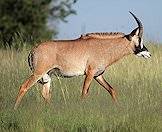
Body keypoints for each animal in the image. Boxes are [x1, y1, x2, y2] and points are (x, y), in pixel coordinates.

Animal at [13, 11, 151, 109]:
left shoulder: (98, 75)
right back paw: (14, 109)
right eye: (139, 40)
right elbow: (84, 92)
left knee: (45, 94)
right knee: (23, 87)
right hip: (38, 73)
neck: (103, 47)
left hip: (47, 76)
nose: (148, 54)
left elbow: (111, 90)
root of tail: (33, 50)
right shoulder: (89, 73)